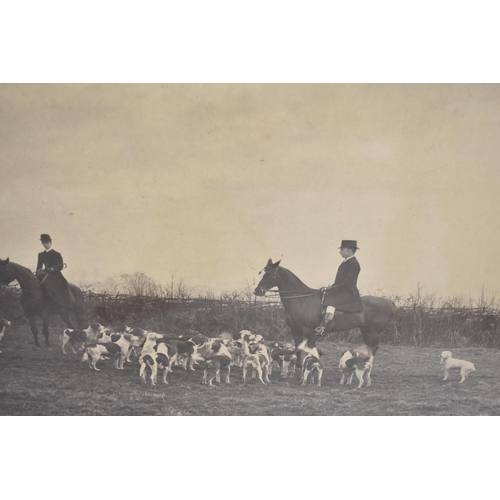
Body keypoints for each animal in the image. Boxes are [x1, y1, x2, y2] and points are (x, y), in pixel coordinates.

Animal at [256, 260, 396, 354]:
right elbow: (298, 350)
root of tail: (390, 303)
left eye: (268, 274)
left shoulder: (310, 332)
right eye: (260, 272)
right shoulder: (295, 331)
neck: (301, 299)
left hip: (374, 332)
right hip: (365, 329)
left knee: (373, 348)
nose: (257, 291)